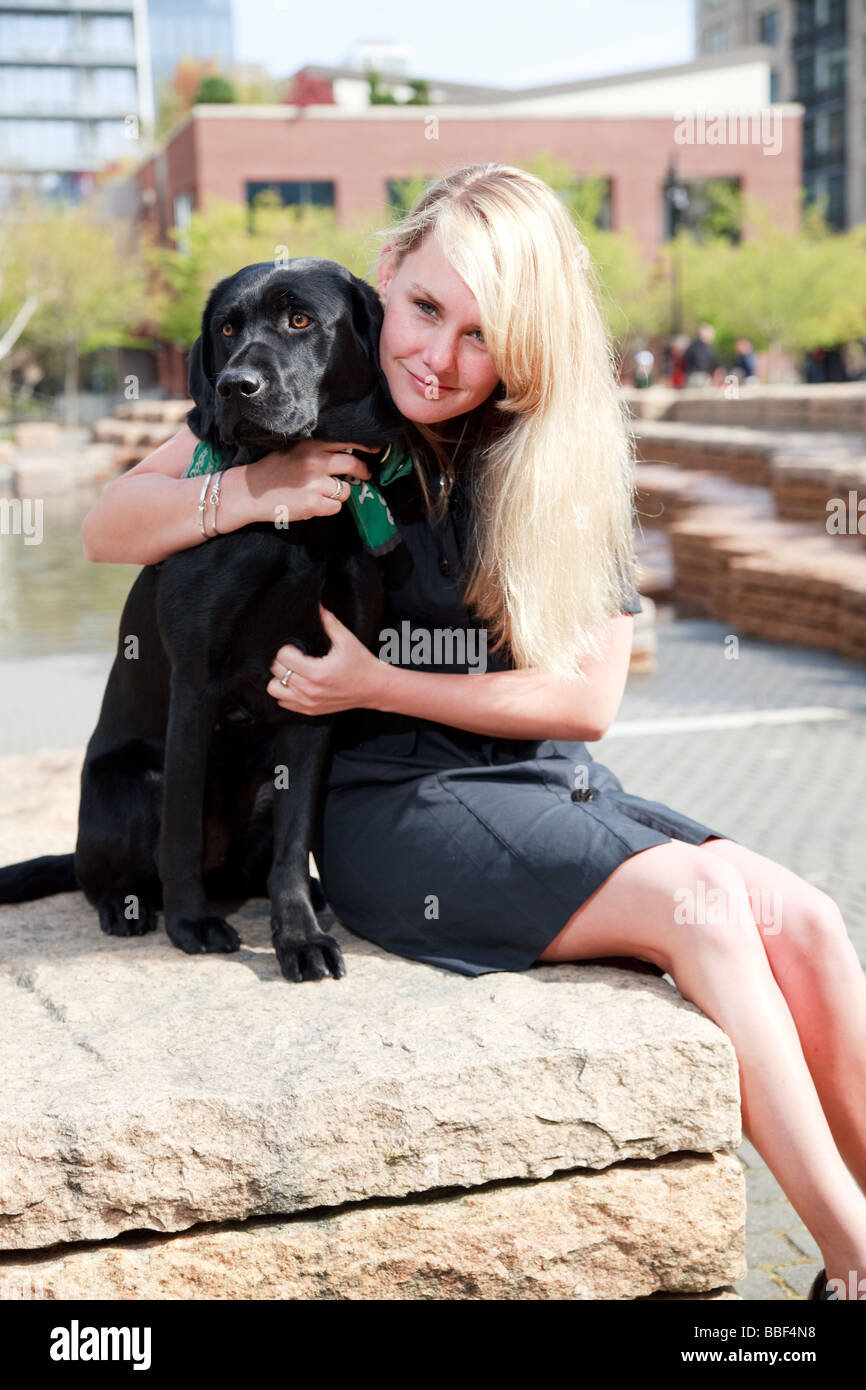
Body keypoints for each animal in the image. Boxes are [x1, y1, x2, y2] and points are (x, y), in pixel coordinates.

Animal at [0, 258, 405, 978]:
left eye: (300, 319)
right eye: (226, 329)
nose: (235, 386)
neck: (295, 527)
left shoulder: (316, 691)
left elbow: (293, 842)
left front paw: (297, 937)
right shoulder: (196, 682)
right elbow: (182, 828)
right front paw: (189, 926)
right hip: (133, 783)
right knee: (105, 876)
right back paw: (130, 908)